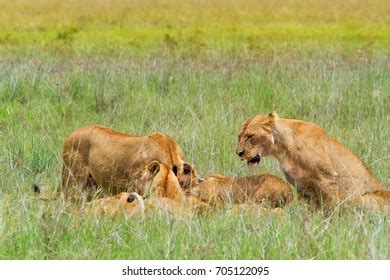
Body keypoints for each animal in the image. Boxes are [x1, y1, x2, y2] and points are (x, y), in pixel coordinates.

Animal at [236, 111, 388, 210]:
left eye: (250, 136)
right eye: (239, 137)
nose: (238, 153)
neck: (283, 149)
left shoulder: (327, 180)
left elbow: (331, 208)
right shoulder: (302, 188)